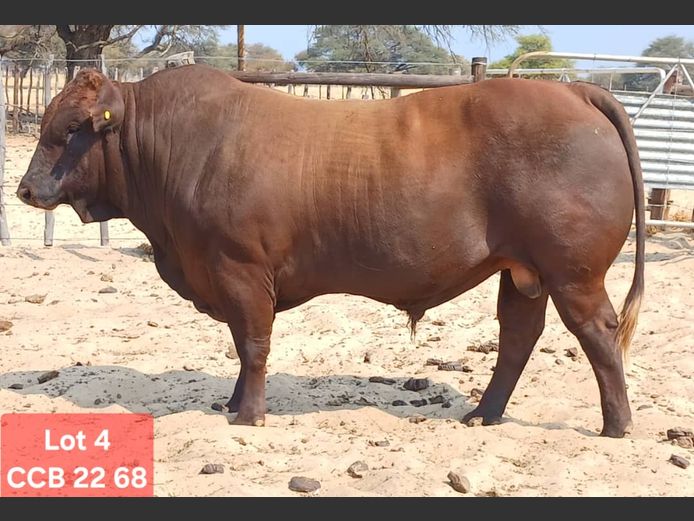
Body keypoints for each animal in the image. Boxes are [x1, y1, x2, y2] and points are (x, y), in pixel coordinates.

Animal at [17, 64, 645, 438]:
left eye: (70, 127)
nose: (25, 189)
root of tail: (570, 88)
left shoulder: (240, 267)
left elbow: (253, 344)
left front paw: (249, 416)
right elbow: (241, 348)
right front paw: (232, 404)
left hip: (572, 271)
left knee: (598, 333)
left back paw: (616, 425)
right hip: (521, 272)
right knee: (518, 337)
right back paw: (483, 414)